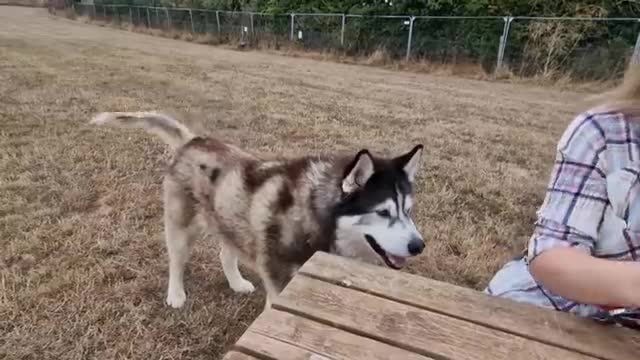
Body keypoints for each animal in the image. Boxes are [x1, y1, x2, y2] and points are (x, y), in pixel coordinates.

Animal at [89, 111, 424, 308]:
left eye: (408, 210)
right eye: (383, 212)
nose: (419, 246)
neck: (313, 212)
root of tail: (193, 140)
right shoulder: (279, 283)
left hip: (232, 220)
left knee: (226, 254)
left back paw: (236, 283)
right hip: (182, 228)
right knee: (176, 260)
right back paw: (176, 294)